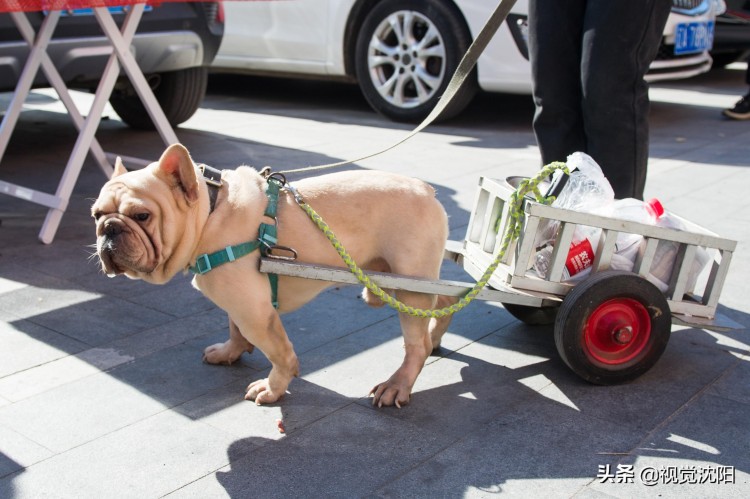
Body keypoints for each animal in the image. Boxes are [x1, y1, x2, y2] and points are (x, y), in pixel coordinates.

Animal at [91, 143, 456, 408]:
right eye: (96, 214)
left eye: (142, 215)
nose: (109, 230)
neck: (211, 214)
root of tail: (427, 190)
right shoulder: (239, 302)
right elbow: (235, 329)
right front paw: (229, 352)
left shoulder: (255, 313)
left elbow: (280, 354)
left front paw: (272, 388)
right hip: (398, 280)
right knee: (445, 300)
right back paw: (437, 334)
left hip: (408, 283)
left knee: (416, 345)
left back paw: (398, 385)